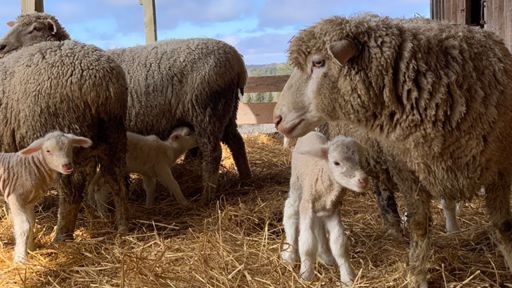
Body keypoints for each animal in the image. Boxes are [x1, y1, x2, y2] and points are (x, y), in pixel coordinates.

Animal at [0, 13, 252, 204]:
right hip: (227, 111)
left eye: (34, 29)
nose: (2, 46)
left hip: (207, 110)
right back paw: (246, 181)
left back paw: (207, 196)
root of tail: (238, 62)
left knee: (213, 151)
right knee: (237, 143)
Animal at [0, 37, 129, 242]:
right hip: (114, 138)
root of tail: (101, 83)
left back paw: (62, 235)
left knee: (72, 188)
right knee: (118, 180)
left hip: (60, 142)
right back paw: (123, 227)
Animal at [0, 131, 92, 264]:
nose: (67, 166)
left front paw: (31, 249)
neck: (29, 167)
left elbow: (31, 223)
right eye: (48, 151)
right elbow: (23, 226)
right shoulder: (15, 198)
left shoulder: (29, 202)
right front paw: (20, 259)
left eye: (69, 147)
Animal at [280, 132, 368, 284]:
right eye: (336, 163)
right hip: (296, 184)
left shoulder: (332, 210)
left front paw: (348, 278)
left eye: (360, 161)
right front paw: (305, 276)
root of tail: (311, 132)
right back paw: (289, 256)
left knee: (318, 225)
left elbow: (339, 243)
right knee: (290, 211)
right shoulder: (307, 206)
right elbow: (307, 243)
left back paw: (325, 256)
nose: (363, 180)